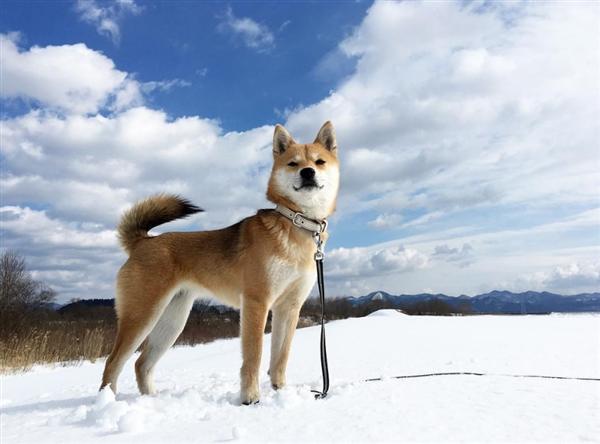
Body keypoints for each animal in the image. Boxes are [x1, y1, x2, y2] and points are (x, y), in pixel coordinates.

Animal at [101, 119, 340, 404]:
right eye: (293, 163)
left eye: (319, 161)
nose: (307, 172)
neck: (296, 223)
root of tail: (142, 242)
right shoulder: (257, 301)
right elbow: (254, 356)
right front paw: (251, 399)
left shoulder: (289, 307)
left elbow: (280, 357)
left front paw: (280, 391)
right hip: (141, 314)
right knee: (113, 363)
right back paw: (105, 402)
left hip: (172, 319)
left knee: (142, 364)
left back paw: (152, 399)